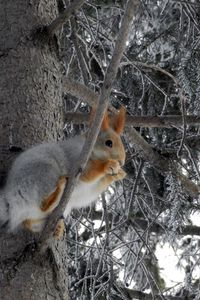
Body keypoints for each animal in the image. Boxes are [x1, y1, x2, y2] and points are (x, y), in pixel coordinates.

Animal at [0, 108, 126, 237]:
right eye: (109, 143)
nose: (122, 162)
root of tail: (10, 202)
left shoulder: (91, 188)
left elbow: (94, 189)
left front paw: (119, 174)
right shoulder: (75, 159)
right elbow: (87, 173)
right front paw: (108, 165)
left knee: (30, 223)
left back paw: (57, 228)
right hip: (44, 174)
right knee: (43, 205)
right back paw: (58, 191)